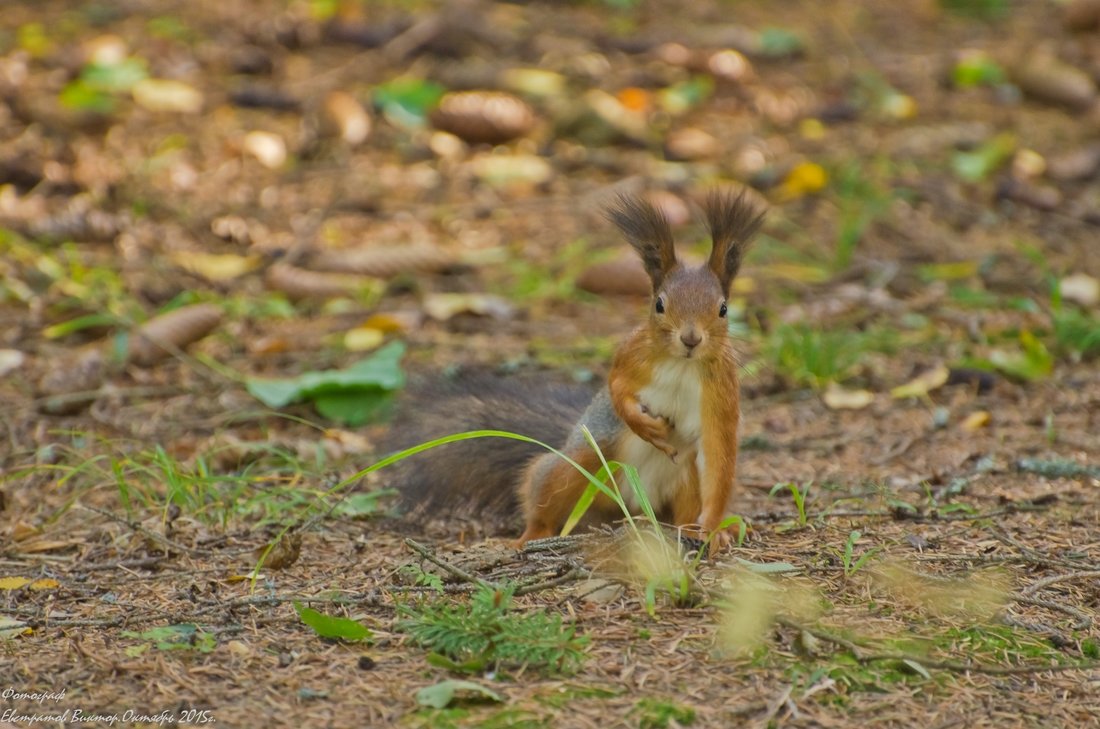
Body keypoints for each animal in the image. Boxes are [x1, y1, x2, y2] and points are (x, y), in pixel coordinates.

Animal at [389, 191, 765, 549]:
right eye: (659, 304)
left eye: (723, 309)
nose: (690, 338)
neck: (681, 364)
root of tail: (631, 507)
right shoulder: (632, 355)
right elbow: (616, 386)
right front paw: (642, 423)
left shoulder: (721, 393)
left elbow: (719, 456)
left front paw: (714, 530)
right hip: (579, 464)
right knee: (543, 491)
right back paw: (531, 535)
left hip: (685, 481)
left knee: (688, 505)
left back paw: (696, 528)